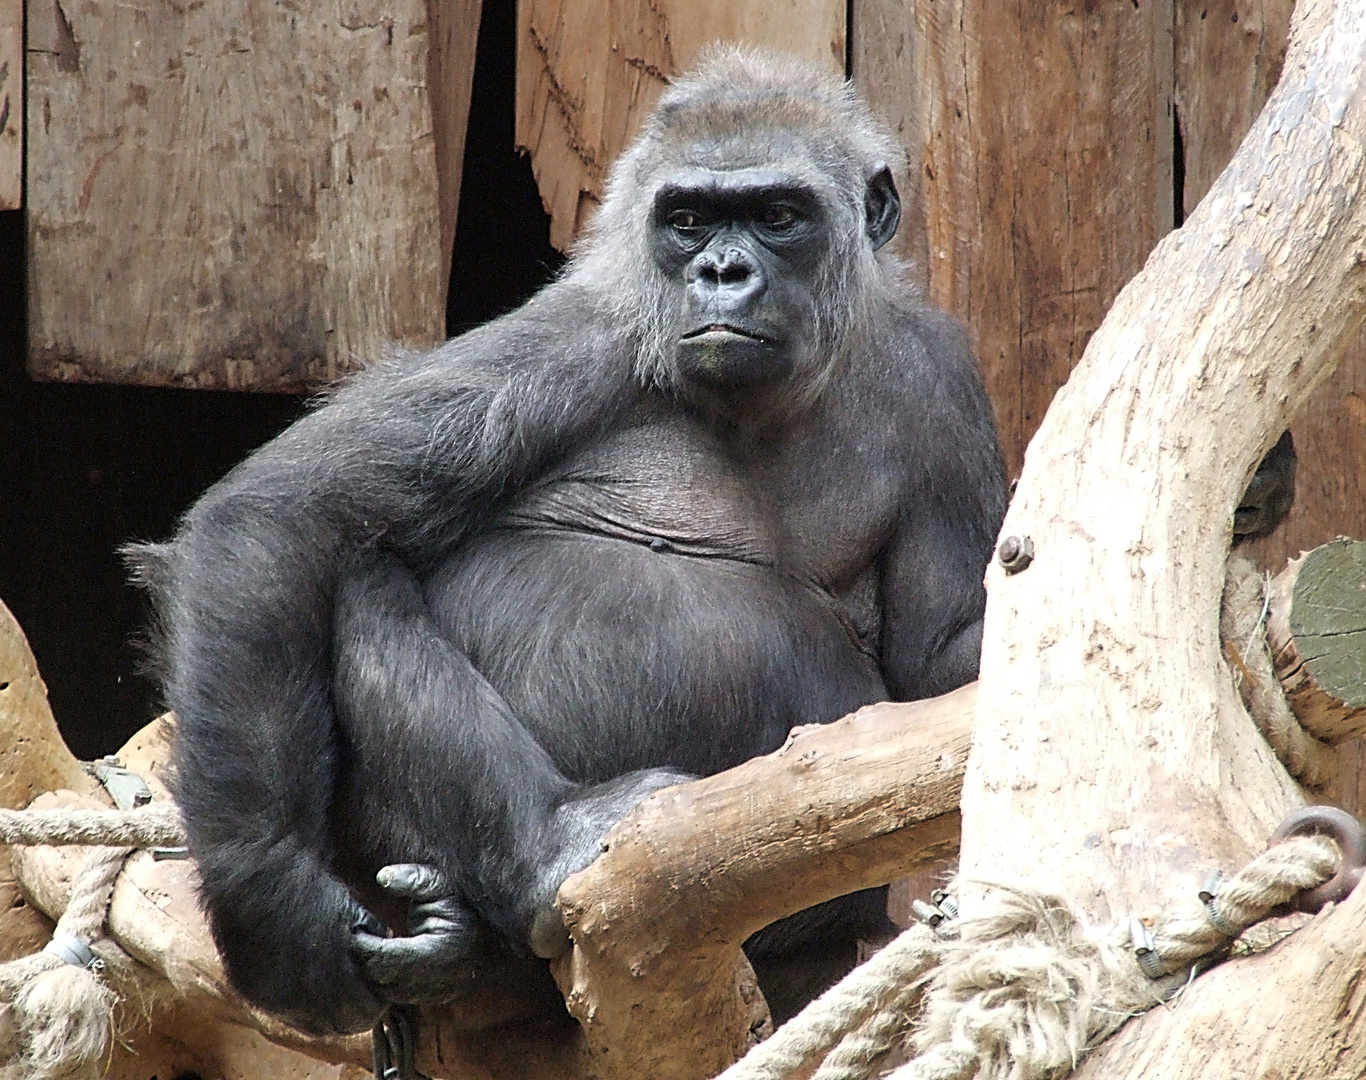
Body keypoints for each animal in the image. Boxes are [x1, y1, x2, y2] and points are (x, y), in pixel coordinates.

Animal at [133, 46, 1294, 1043]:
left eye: (778, 216)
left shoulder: (938, 371)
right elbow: (287, 510)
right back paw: (541, 847)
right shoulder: (580, 334)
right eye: (688, 220)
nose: (725, 273)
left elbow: (944, 662)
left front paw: (1247, 501)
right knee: (357, 576)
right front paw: (275, 906)